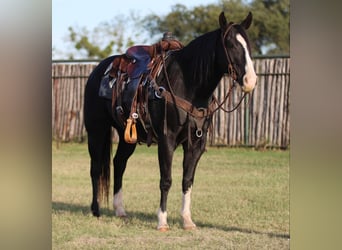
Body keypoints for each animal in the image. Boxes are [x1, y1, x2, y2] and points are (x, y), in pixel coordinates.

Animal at [84, 11, 256, 230]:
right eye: (231, 44)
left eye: (248, 45)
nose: (250, 81)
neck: (188, 84)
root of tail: (99, 71)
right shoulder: (167, 140)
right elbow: (166, 179)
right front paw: (162, 221)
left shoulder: (197, 142)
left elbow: (187, 180)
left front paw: (187, 220)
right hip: (96, 131)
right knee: (96, 168)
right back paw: (95, 210)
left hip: (127, 136)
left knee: (119, 163)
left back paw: (120, 210)